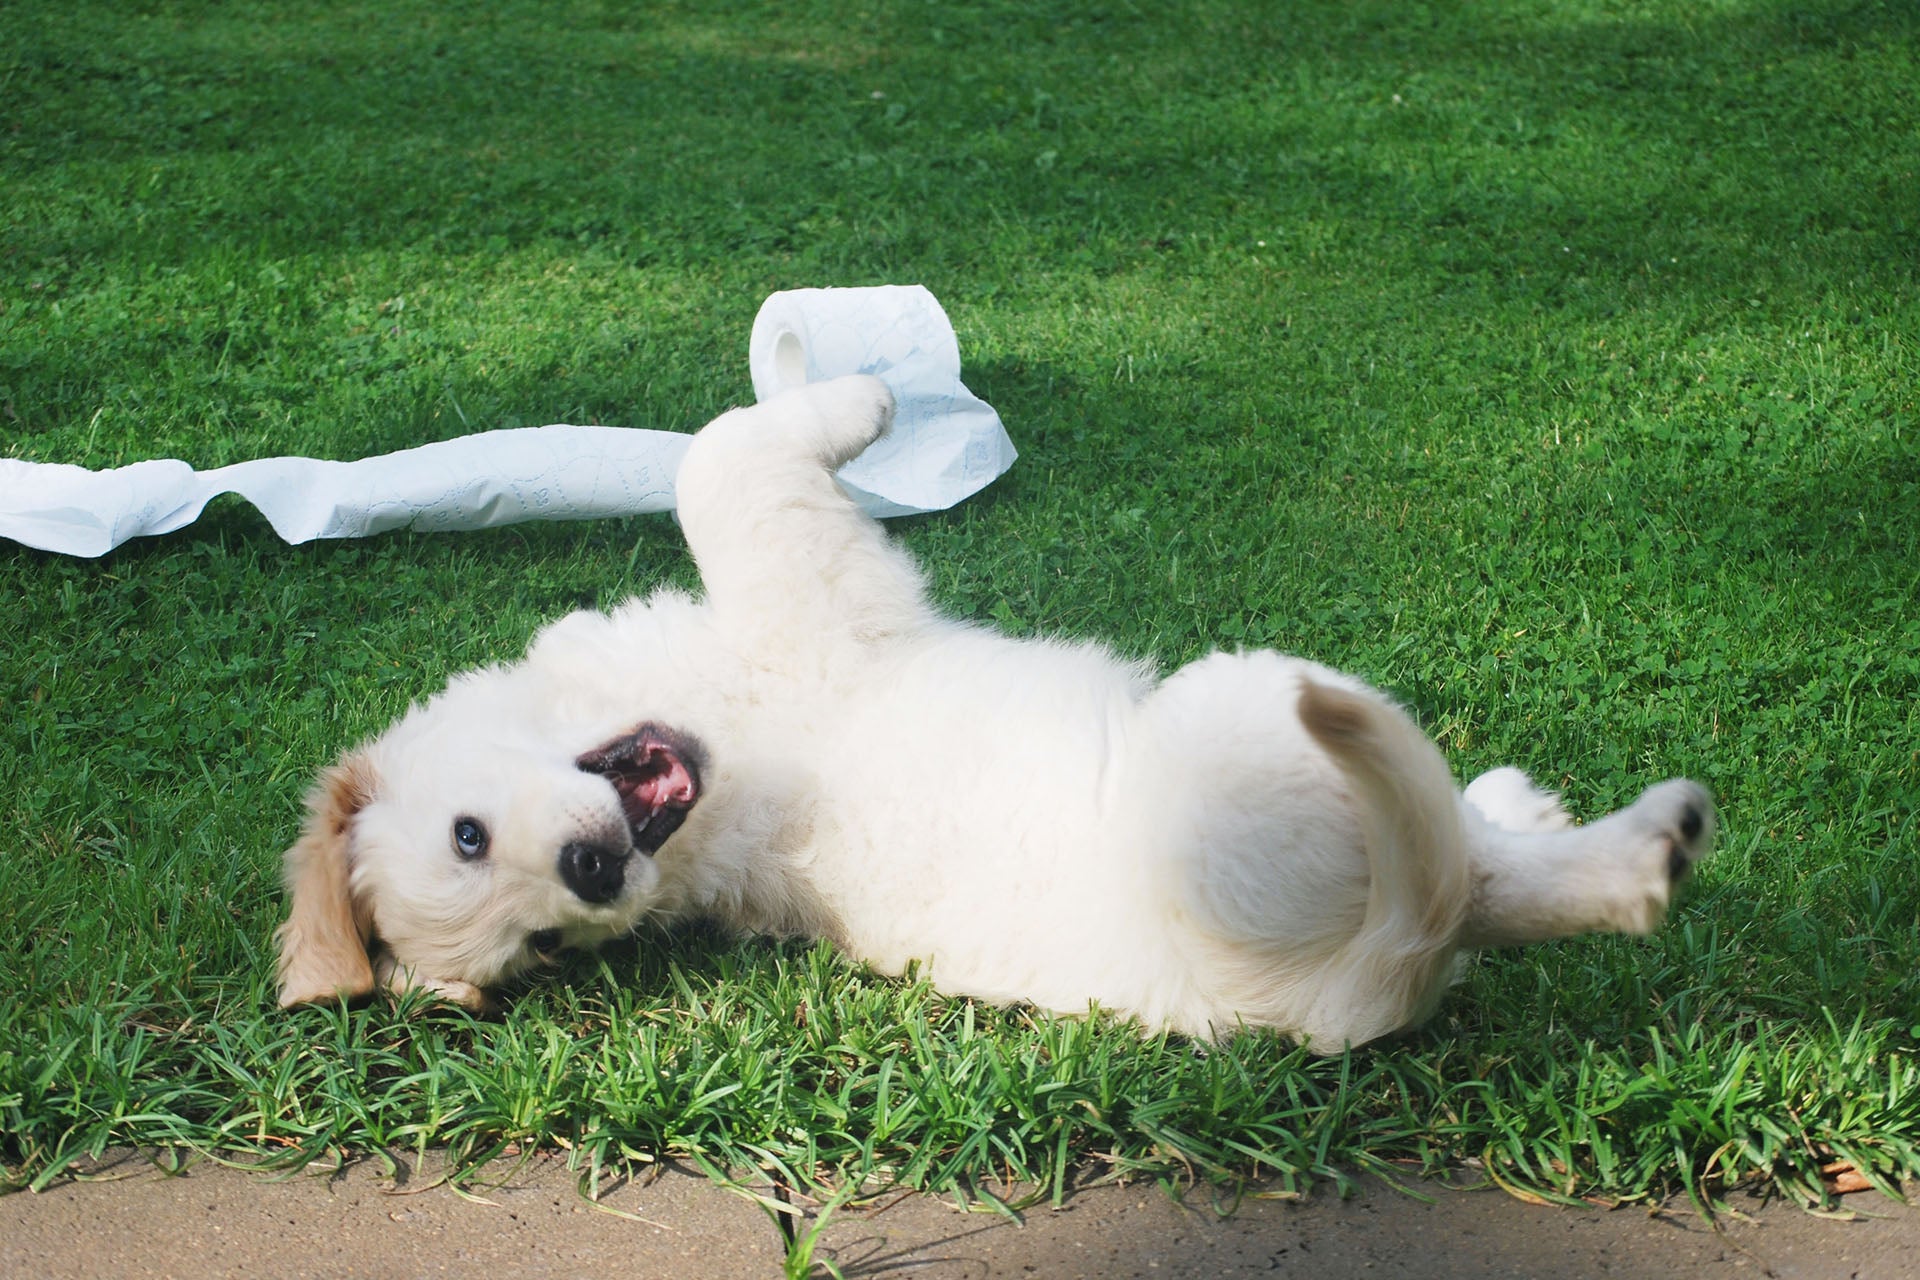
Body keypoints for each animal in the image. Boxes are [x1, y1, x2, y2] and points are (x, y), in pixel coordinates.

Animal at [278, 372, 1720, 1051]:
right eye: (543, 944)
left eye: (469, 836)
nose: (590, 880)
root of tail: (1342, 995)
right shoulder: (805, 583)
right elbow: (719, 458)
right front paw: (865, 400)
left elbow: (718, 450)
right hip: (1254, 725)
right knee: (1477, 876)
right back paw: (1642, 847)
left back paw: (1530, 803)